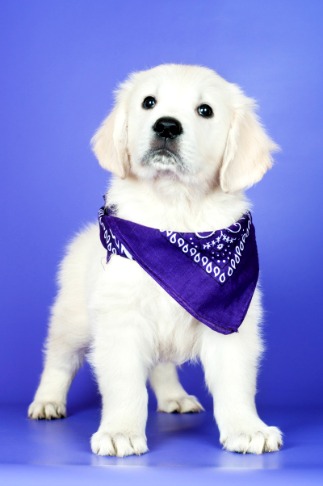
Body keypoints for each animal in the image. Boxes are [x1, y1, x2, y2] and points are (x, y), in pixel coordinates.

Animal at [29, 63, 284, 456]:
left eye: (205, 110)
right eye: (149, 102)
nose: (166, 126)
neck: (174, 208)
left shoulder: (232, 322)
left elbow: (235, 382)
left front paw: (247, 428)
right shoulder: (119, 318)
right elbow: (125, 384)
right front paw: (120, 431)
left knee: (160, 366)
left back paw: (174, 397)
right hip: (72, 319)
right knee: (58, 359)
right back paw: (47, 401)